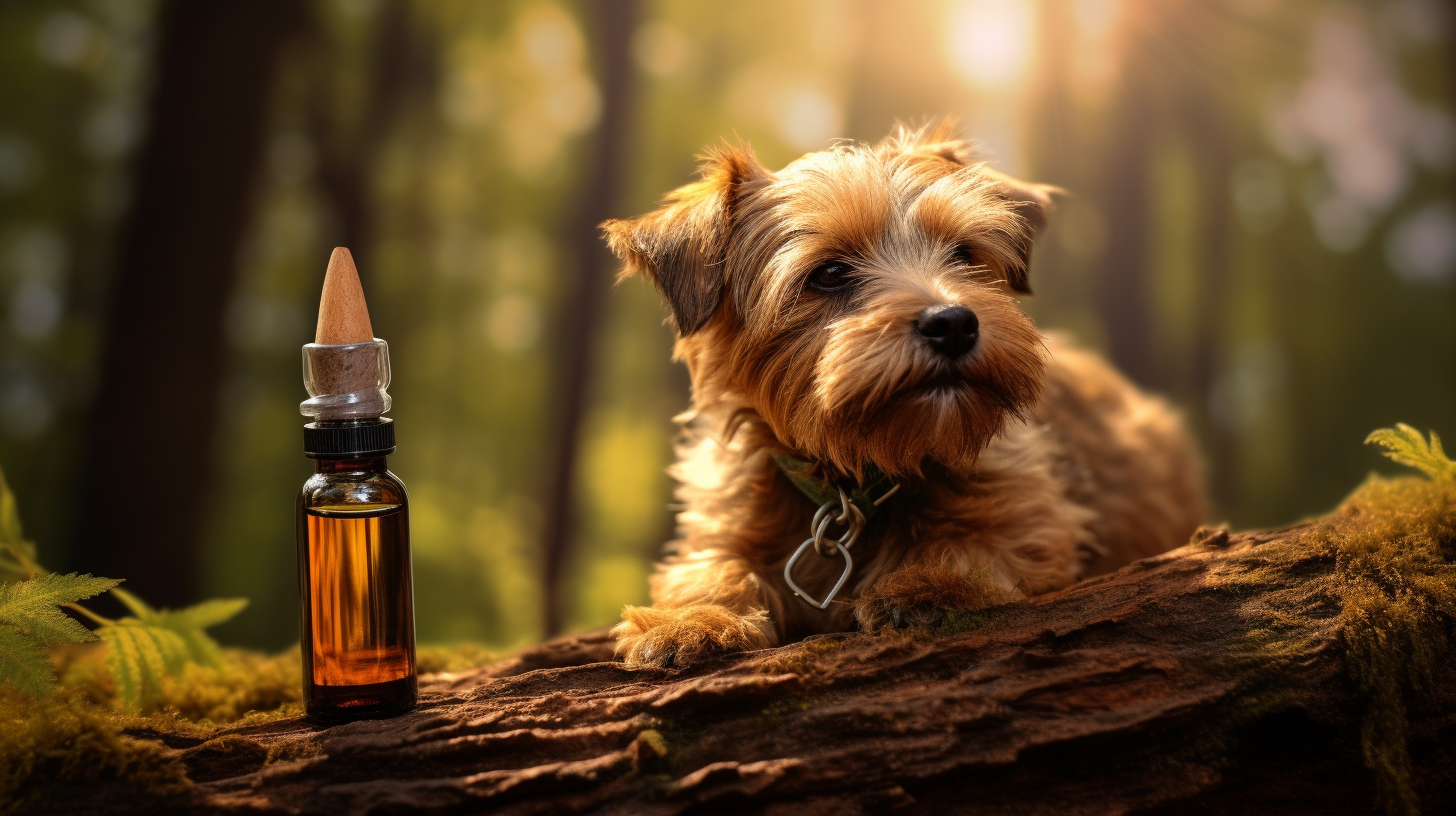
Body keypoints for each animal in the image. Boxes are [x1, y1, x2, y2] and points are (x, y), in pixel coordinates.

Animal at [596, 122, 1199, 670]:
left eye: (964, 253)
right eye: (830, 273)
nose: (954, 321)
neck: (858, 475)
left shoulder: (1034, 524)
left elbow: (975, 546)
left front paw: (928, 586)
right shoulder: (730, 524)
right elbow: (708, 567)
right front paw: (690, 619)